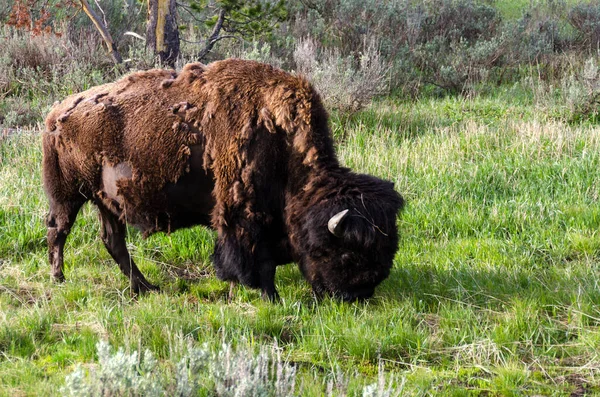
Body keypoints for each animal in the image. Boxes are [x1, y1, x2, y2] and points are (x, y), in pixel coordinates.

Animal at [44, 58, 406, 300]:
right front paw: (269, 297)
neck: (279, 137)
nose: (356, 296)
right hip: (68, 195)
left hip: (106, 202)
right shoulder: (244, 214)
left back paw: (146, 287)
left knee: (112, 241)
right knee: (58, 231)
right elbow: (257, 260)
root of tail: (56, 112)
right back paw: (59, 278)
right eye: (345, 253)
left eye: (388, 251)